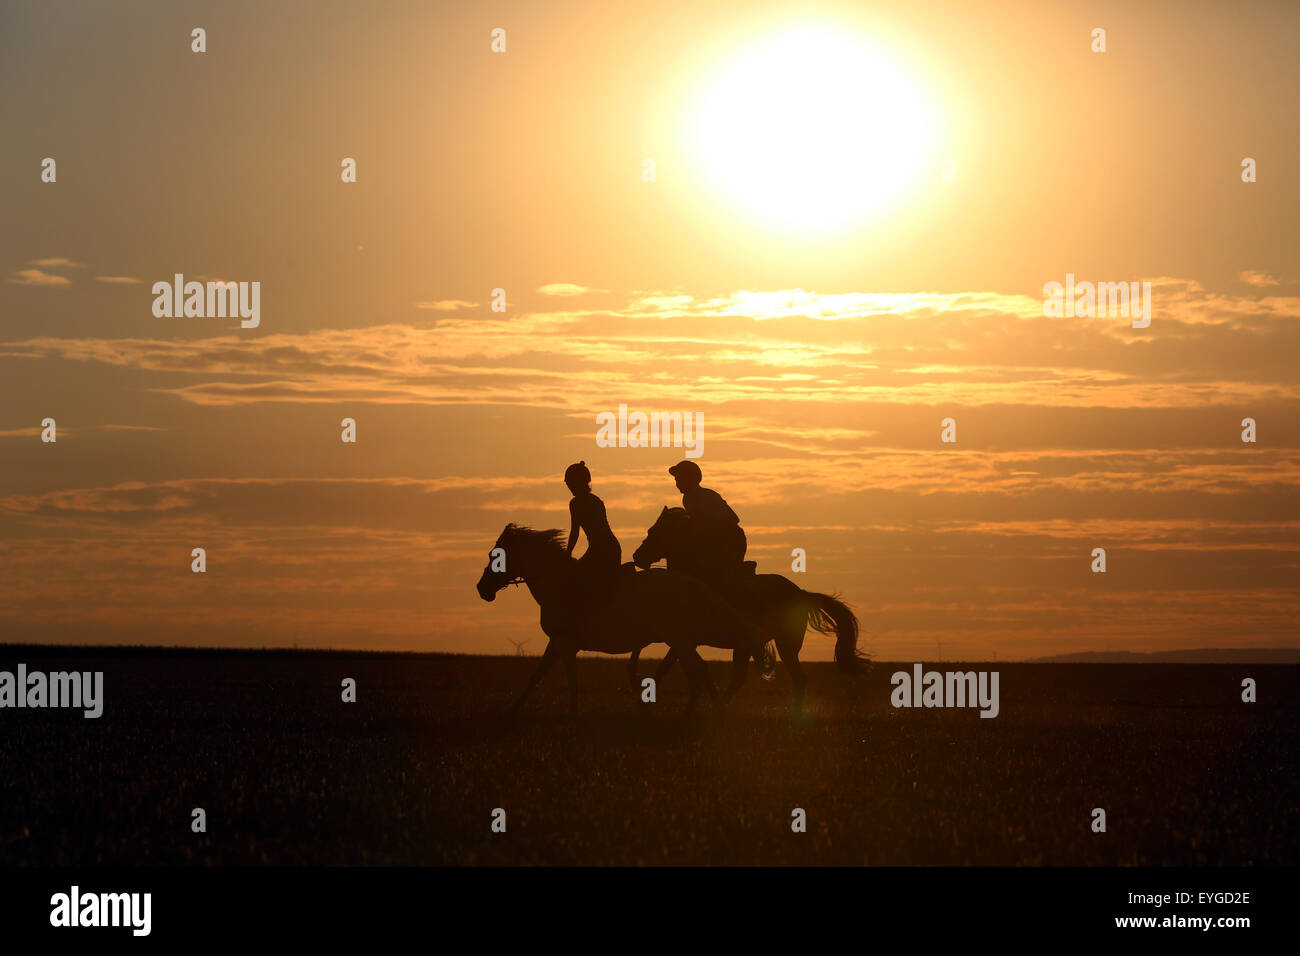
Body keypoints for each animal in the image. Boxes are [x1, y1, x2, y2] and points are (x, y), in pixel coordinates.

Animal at [478, 522, 769, 717]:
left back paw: (704, 712)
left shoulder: (565, 643)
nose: (482, 590)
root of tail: (693, 583)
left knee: (698, 671)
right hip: (683, 640)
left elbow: (570, 680)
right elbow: (536, 676)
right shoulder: (558, 642)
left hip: (679, 639)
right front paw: (513, 709)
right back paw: (707, 711)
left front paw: (573, 712)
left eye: (496, 556)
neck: (558, 583)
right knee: (700, 672)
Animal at [629, 504, 863, 712]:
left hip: (785, 644)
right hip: (747, 645)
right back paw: (719, 706)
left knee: (798, 678)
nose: (637, 556)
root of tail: (801, 593)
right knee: (740, 678)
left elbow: (665, 666)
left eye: (653, 531)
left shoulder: (684, 638)